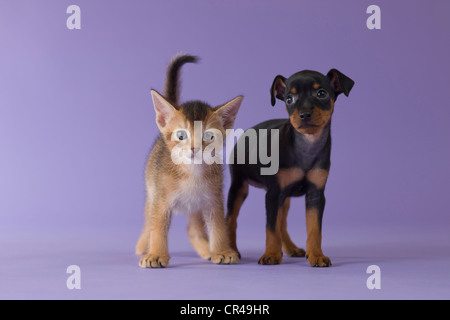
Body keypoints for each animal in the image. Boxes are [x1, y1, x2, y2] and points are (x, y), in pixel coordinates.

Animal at [136, 55, 244, 268]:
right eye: (181, 135)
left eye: (209, 136)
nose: (194, 148)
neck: (192, 172)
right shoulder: (161, 200)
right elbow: (157, 227)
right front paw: (156, 255)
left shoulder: (213, 199)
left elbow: (218, 227)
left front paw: (221, 251)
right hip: (152, 192)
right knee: (148, 222)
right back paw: (142, 246)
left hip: (195, 207)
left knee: (192, 229)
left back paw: (207, 250)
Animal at [227, 69, 354, 266]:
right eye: (289, 99)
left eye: (322, 94)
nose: (304, 114)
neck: (307, 144)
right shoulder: (273, 195)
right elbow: (270, 228)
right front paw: (271, 253)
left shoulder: (315, 195)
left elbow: (314, 229)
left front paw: (316, 255)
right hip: (239, 188)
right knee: (231, 220)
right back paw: (231, 249)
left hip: (285, 197)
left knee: (282, 223)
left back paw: (290, 248)